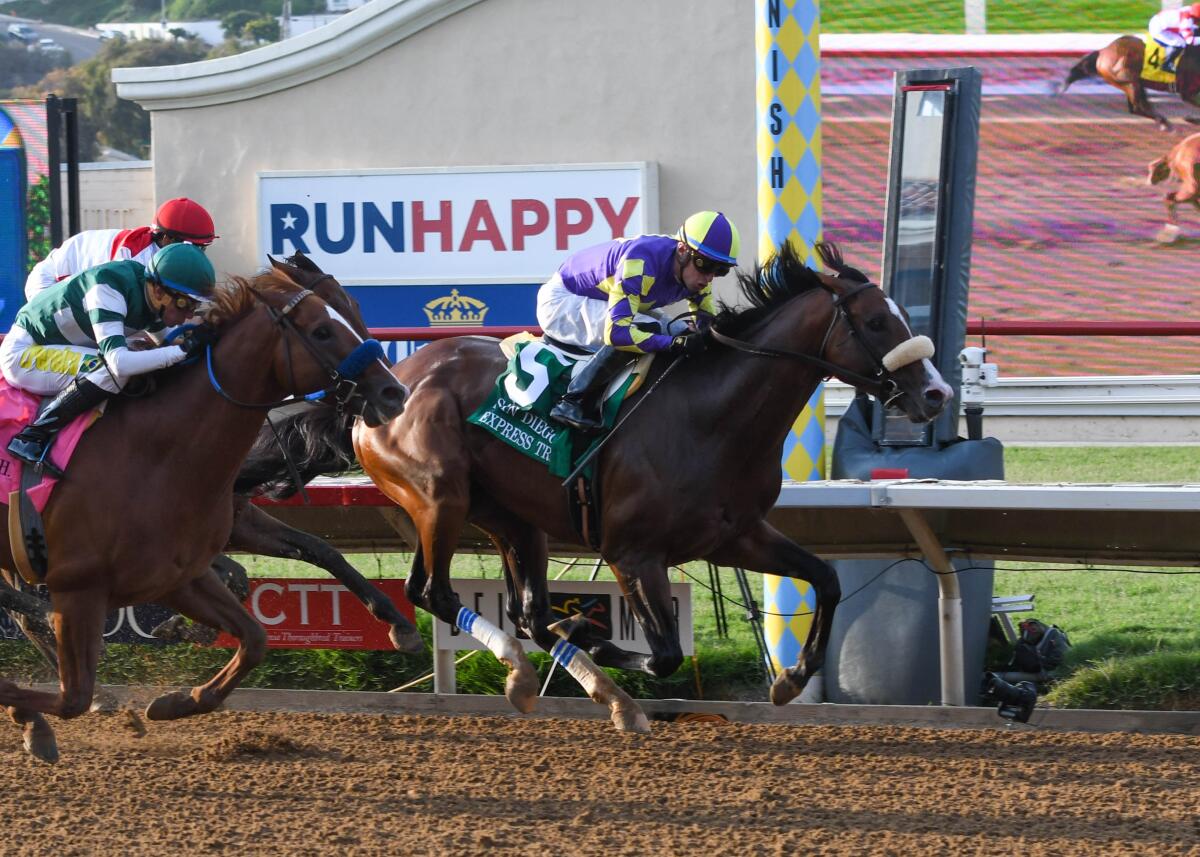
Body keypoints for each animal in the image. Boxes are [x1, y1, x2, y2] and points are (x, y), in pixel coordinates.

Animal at [0, 268, 408, 763]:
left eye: (352, 310)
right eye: (322, 331)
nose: (394, 391)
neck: (156, 454)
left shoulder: (181, 573)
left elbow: (259, 632)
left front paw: (175, 701)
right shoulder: (78, 589)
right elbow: (70, 697)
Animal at [350, 240, 950, 729]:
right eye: (877, 322)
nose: (937, 394)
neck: (711, 418)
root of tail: (389, 384)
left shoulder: (736, 536)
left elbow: (826, 578)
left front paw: (792, 678)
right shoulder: (632, 554)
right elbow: (665, 655)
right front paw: (593, 638)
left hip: (509, 517)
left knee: (526, 613)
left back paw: (587, 682)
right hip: (440, 499)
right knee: (435, 592)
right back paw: (546, 669)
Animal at [1060, 35, 1200, 129]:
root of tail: (1103, 52)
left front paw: (1191, 118)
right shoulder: (1187, 92)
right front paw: (1190, 118)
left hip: (1135, 83)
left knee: (1136, 107)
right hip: (1127, 80)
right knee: (1137, 107)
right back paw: (1164, 123)